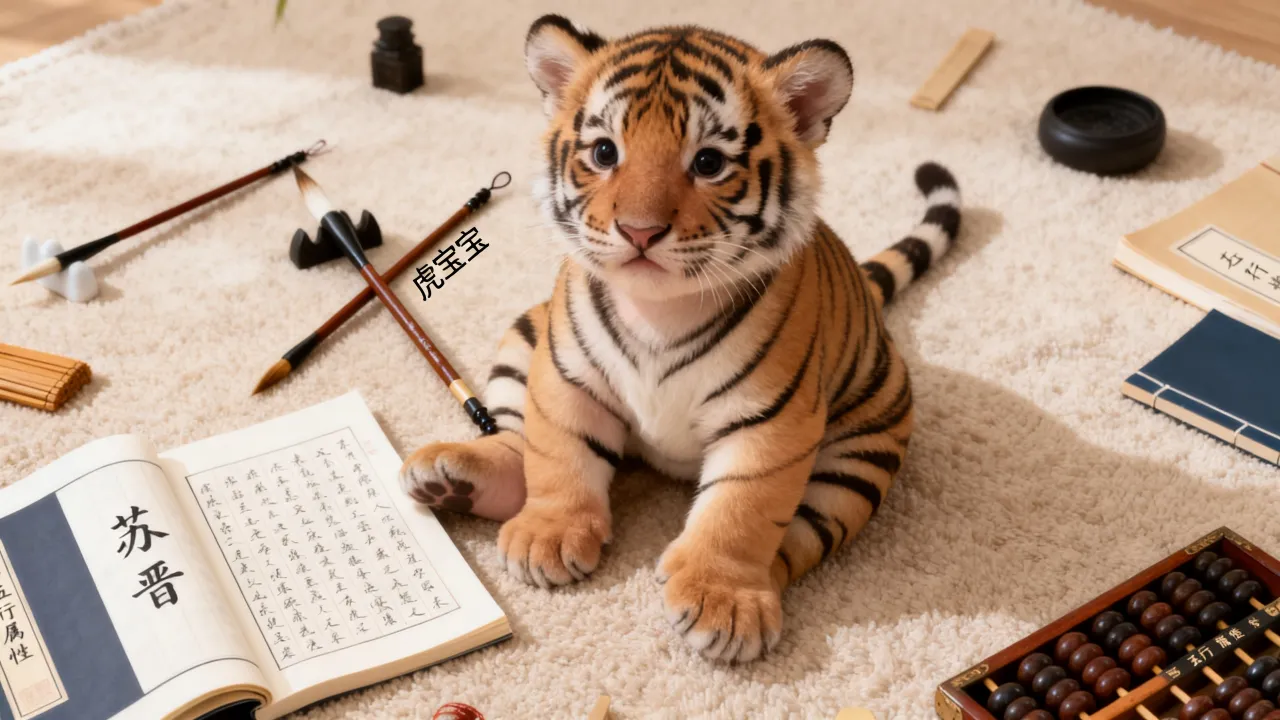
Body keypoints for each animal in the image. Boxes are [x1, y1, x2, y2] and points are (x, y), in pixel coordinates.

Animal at [399, 14, 962, 663]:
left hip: (857, 462)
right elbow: (558, 454)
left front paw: (722, 600)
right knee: (519, 446)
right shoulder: (565, 375)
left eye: (710, 162)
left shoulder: (771, 420)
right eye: (605, 152)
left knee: (795, 541)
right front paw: (550, 532)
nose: (639, 231)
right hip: (526, 334)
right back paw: (453, 481)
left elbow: (741, 510)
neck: (657, 312)